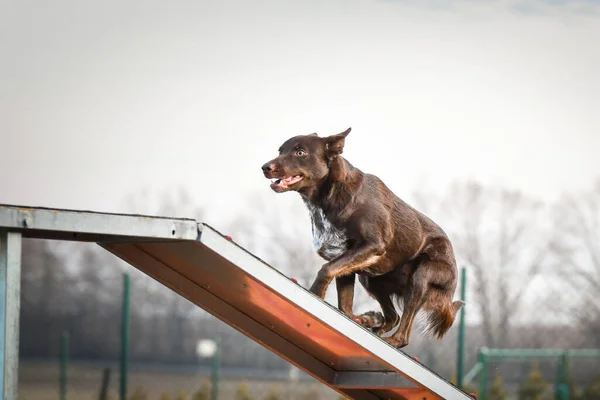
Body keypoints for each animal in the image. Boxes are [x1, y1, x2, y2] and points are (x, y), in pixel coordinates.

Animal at [260, 127, 462, 346]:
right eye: (280, 150)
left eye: (300, 152)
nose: (265, 168)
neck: (329, 195)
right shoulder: (343, 258)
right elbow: (344, 307)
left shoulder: (373, 245)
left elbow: (325, 270)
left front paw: (314, 294)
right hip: (371, 279)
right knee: (392, 317)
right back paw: (371, 321)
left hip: (422, 275)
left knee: (404, 334)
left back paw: (390, 338)